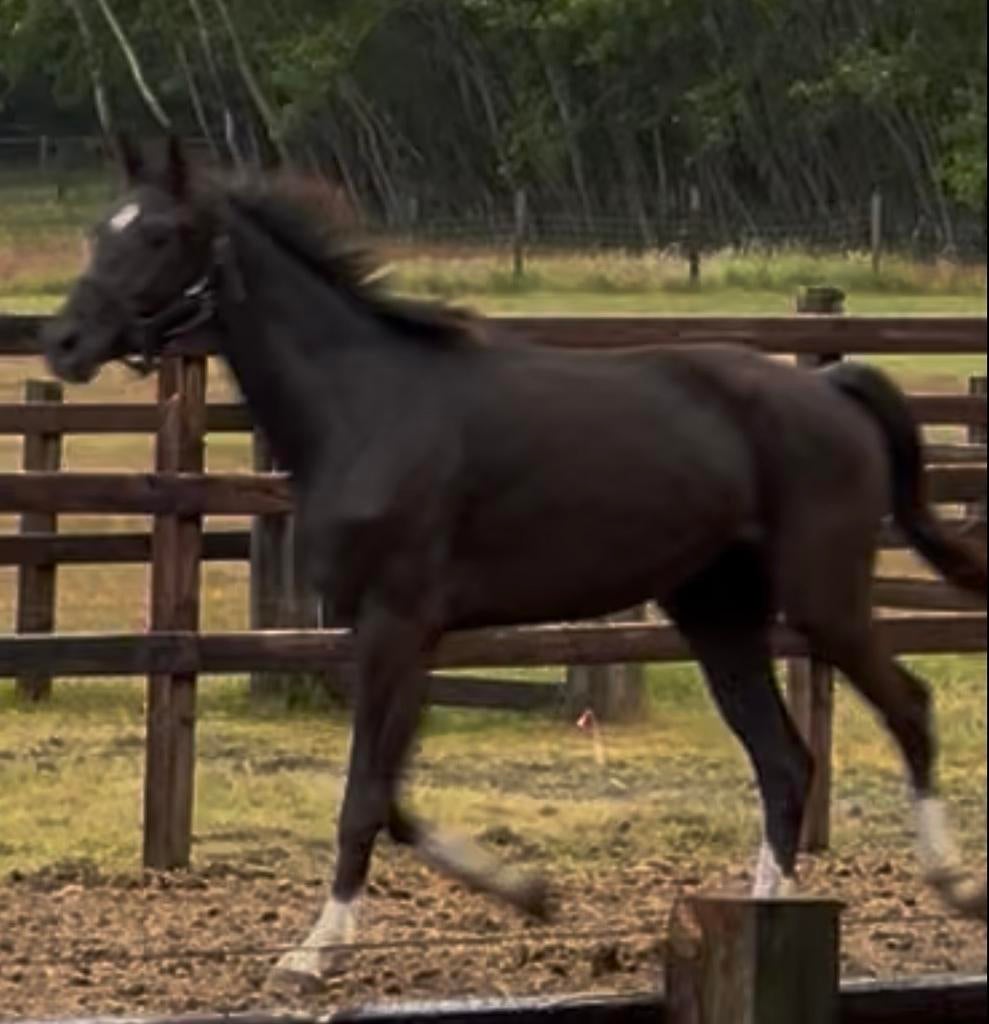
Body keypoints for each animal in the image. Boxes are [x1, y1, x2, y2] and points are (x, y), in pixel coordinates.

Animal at [42, 137, 986, 988]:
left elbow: (363, 796)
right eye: (100, 229)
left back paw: (951, 884)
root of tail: (826, 386)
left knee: (905, 708)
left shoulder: (399, 624)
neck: (364, 408)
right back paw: (757, 924)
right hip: (715, 613)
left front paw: (311, 956)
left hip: (821, 598)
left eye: (160, 234)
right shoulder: (382, 636)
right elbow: (389, 794)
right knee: (784, 762)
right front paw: (529, 894)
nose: (63, 341)